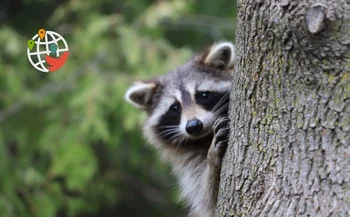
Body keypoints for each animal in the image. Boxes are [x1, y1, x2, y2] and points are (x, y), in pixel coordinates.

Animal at [123, 41, 235, 216]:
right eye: (175, 108)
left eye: (203, 95)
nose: (193, 126)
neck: (205, 137)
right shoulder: (190, 161)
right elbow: (208, 200)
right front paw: (213, 159)